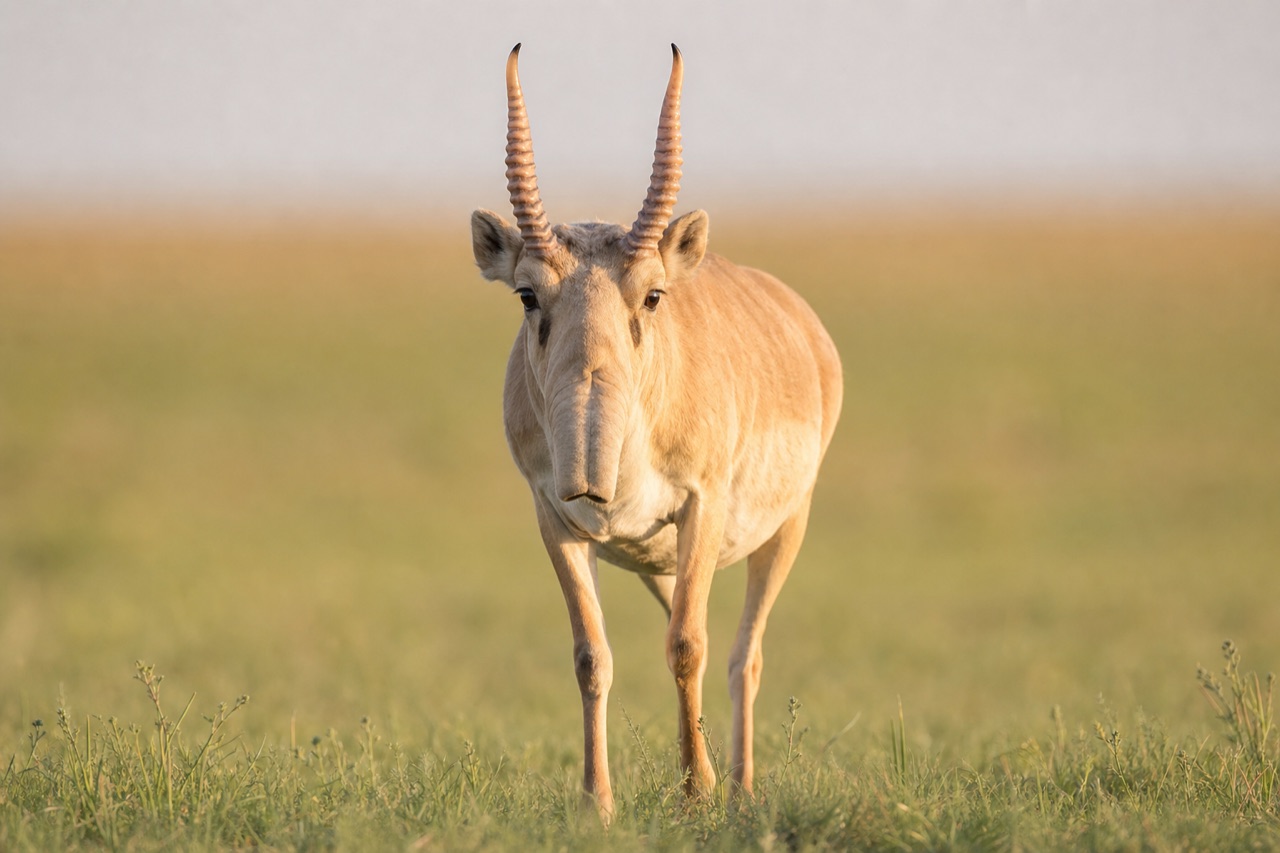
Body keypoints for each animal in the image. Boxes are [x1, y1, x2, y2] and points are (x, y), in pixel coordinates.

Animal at [470, 44, 842, 819]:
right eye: (527, 295)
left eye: (652, 295)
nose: (590, 479)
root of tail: (804, 323)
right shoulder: (554, 520)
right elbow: (592, 655)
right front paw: (597, 801)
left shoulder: (702, 506)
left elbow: (688, 647)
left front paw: (697, 793)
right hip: (656, 561)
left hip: (785, 528)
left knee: (742, 653)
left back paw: (740, 786)